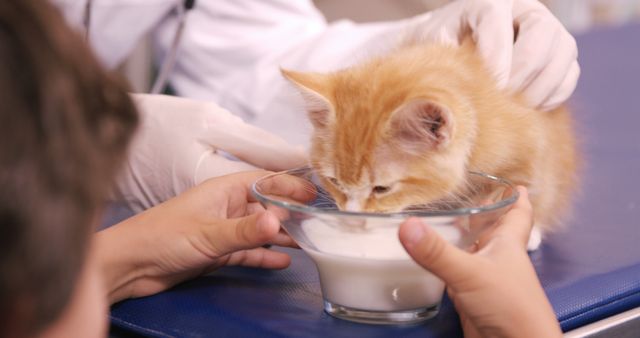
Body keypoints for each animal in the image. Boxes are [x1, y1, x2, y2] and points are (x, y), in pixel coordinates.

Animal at [282, 41, 576, 250]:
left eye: (382, 189)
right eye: (334, 182)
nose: (352, 218)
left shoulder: (533, 141)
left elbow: (532, 186)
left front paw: (528, 227)